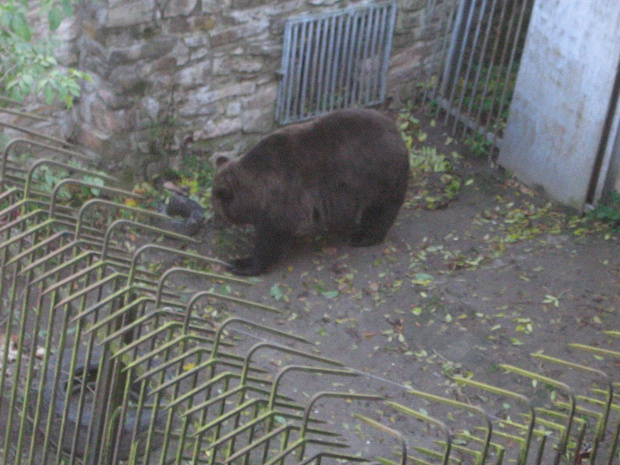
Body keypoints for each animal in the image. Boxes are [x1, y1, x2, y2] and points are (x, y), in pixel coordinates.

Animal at [211, 108, 410, 276]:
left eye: (217, 209)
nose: (216, 221)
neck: (257, 189)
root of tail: (398, 134)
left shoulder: (285, 193)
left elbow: (273, 235)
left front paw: (242, 263)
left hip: (377, 176)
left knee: (380, 210)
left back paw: (362, 236)